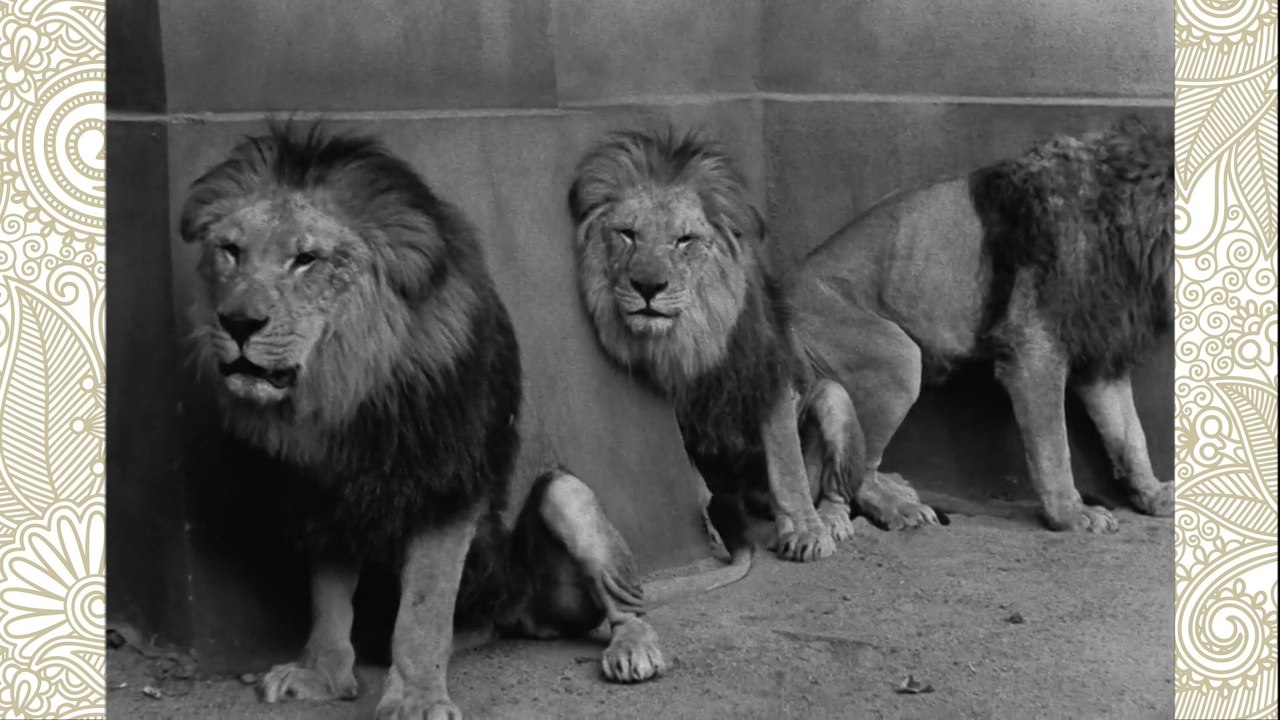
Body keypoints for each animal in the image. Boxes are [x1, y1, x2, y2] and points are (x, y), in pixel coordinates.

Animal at [181, 124, 745, 720]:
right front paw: (323, 677)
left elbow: (423, 610)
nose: (237, 322)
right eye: (230, 251)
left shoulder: (447, 484)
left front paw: (416, 699)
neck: (350, 393)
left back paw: (633, 649)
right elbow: (328, 600)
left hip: (567, 498)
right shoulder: (327, 497)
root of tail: (521, 613)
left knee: (624, 603)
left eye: (306, 259)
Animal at [567, 128, 935, 563]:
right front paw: (710, 525)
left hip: (833, 398)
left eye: (684, 240)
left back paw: (834, 520)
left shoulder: (770, 373)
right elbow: (692, 473)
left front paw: (806, 531)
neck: (693, 333)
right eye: (627, 234)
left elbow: (787, 464)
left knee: (840, 484)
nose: (647, 286)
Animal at [789, 117, 1176, 533]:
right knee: (858, 472)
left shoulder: (1100, 353)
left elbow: (1130, 436)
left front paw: (1154, 495)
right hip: (896, 356)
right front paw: (1072, 514)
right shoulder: (1034, 355)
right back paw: (900, 508)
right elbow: (1054, 446)